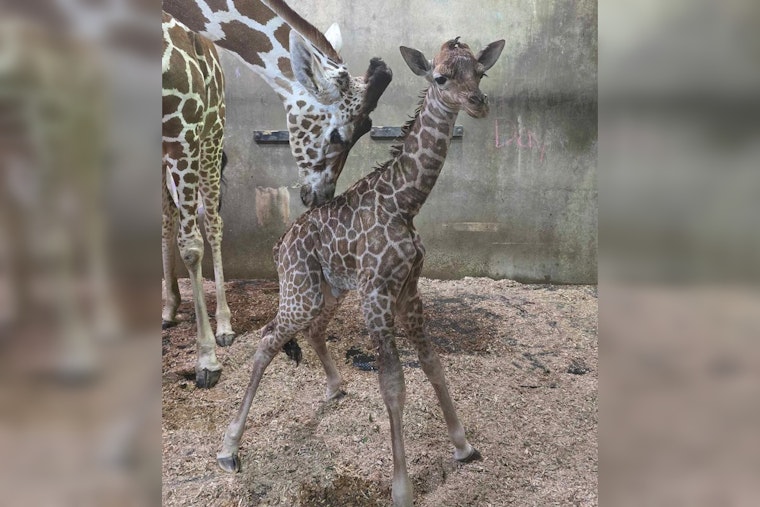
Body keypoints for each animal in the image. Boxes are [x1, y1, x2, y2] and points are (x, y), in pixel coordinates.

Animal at [161, 2, 392, 389]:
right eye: (338, 136)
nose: (321, 197)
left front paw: (206, 356)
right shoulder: (175, 128)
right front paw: (205, 361)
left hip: (210, 129)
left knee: (207, 222)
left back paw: (219, 325)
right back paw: (173, 309)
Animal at [216, 37, 505, 506]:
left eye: (480, 73)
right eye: (441, 77)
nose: (478, 103)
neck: (405, 202)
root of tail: (280, 243)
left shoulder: (408, 291)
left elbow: (433, 365)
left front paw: (464, 447)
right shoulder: (378, 294)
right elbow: (394, 384)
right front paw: (402, 488)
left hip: (331, 289)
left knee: (314, 329)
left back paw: (335, 387)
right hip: (300, 290)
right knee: (267, 338)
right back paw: (228, 449)